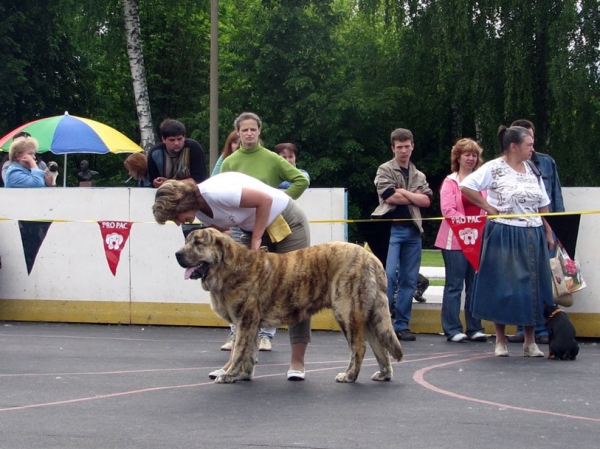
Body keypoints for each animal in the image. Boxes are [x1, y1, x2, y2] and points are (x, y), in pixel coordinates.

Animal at [176, 229, 406, 384]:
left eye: (197, 243)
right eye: (187, 241)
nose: (178, 254)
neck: (229, 267)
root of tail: (372, 259)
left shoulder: (245, 321)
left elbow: (239, 351)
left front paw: (229, 374)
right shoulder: (252, 324)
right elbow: (249, 352)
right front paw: (243, 375)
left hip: (347, 311)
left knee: (359, 347)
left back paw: (349, 376)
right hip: (366, 317)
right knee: (379, 346)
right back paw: (384, 374)